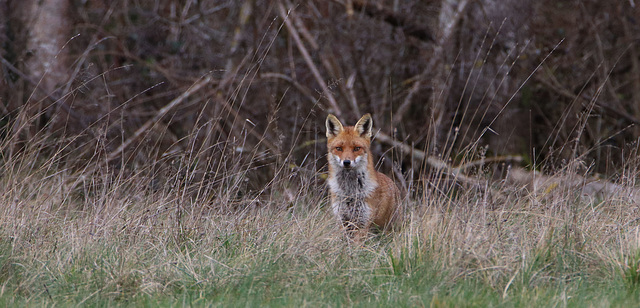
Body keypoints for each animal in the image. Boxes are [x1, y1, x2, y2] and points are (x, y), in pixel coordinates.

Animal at [324, 113, 400, 241]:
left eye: (356, 148)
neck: (349, 191)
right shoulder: (342, 220)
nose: (347, 162)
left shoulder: (363, 223)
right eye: (339, 148)